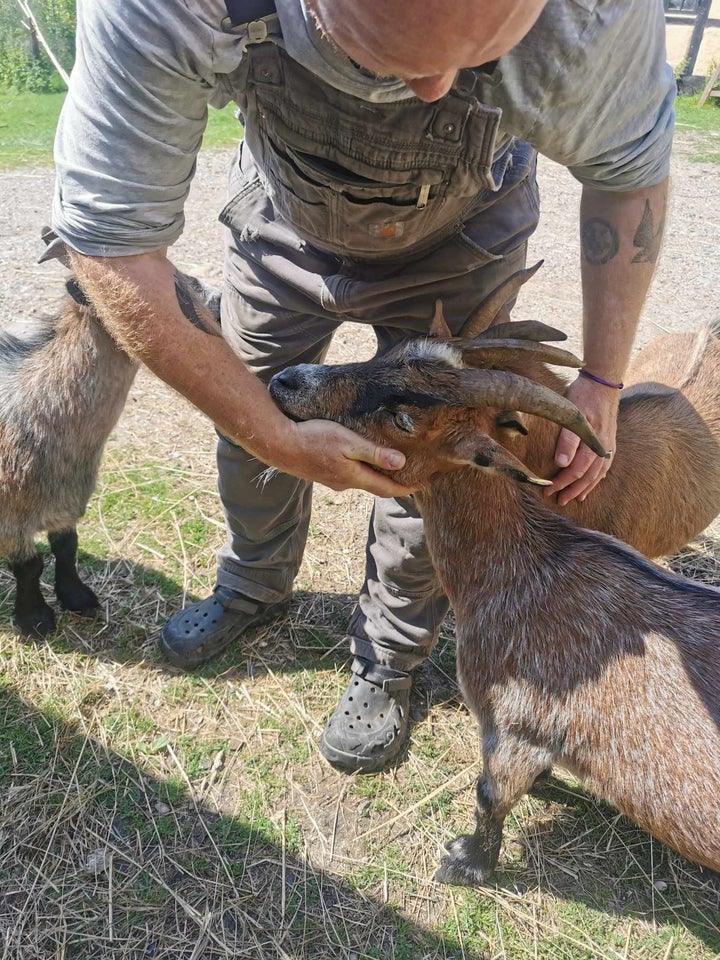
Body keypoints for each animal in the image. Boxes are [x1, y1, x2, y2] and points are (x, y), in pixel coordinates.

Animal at [268, 268, 720, 884]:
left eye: (404, 417)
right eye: (393, 351)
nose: (287, 380)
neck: (528, 561)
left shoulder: (514, 723)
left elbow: (490, 795)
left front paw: (465, 862)